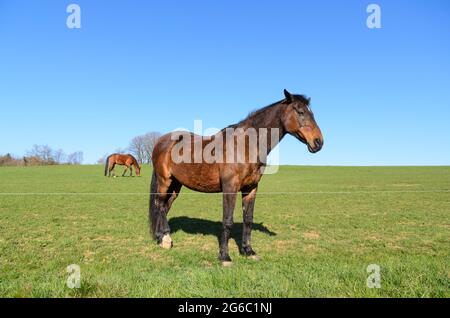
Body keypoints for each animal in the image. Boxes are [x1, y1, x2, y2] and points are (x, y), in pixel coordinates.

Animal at [150, 90, 324, 266]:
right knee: (159, 204)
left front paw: (248, 251)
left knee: (165, 207)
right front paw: (225, 257)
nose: (318, 142)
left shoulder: (251, 189)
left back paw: (162, 238)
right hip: (164, 181)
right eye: (300, 112)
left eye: (312, 113)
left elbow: (248, 220)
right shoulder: (230, 188)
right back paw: (164, 240)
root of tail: (161, 142)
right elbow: (228, 221)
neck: (245, 145)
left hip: (176, 185)